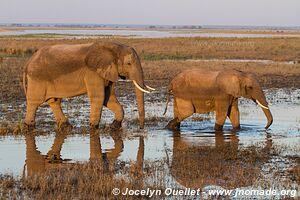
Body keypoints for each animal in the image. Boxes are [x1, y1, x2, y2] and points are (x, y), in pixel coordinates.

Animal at [22, 42, 154, 130]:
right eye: (129, 63)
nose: (141, 129)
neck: (113, 47)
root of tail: (28, 62)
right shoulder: (93, 73)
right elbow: (99, 98)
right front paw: (93, 128)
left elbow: (108, 98)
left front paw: (113, 127)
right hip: (37, 78)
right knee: (34, 102)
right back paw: (28, 127)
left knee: (54, 101)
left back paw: (67, 127)